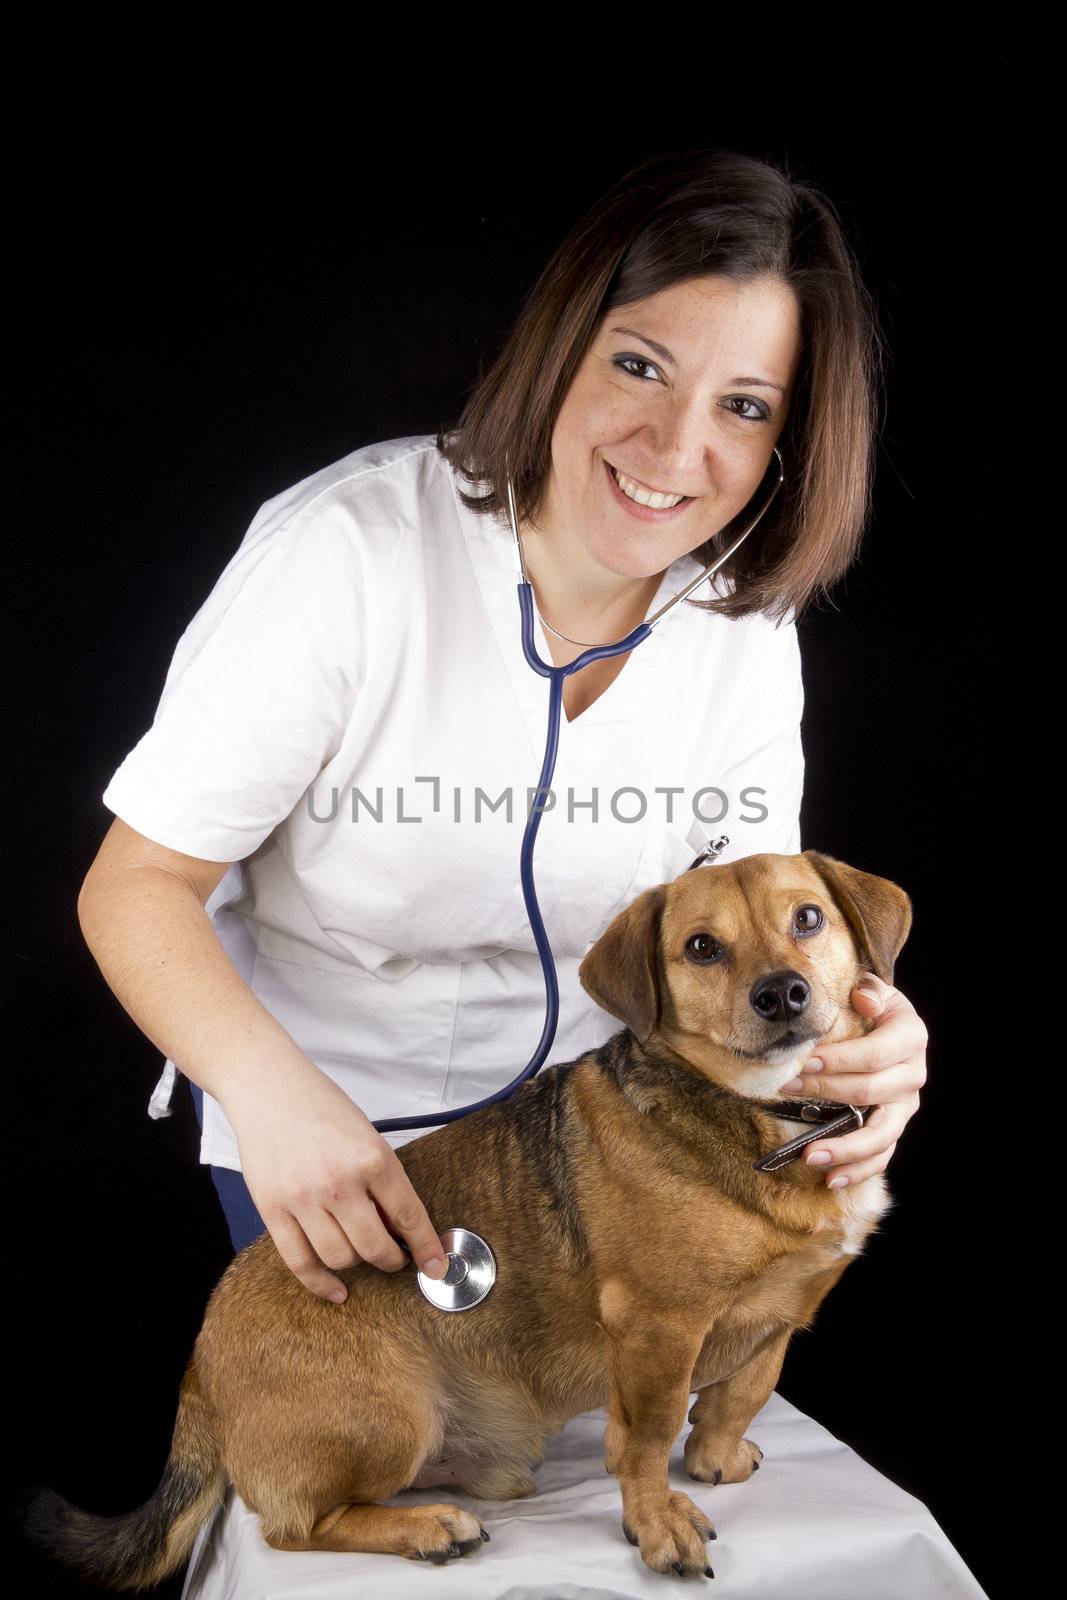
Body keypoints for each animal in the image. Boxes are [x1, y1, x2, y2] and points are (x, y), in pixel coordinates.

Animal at [20, 851, 915, 1587]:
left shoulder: (783, 1314)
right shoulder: (657, 1328)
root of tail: (199, 1363)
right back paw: (425, 1527)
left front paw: (716, 1457)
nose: (782, 994)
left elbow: (742, 1392)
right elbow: (648, 1434)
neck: (769, 1120)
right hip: (393, 1418)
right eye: (701, 948)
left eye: (808, 918)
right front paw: (658, 1519)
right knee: (290, 1527)